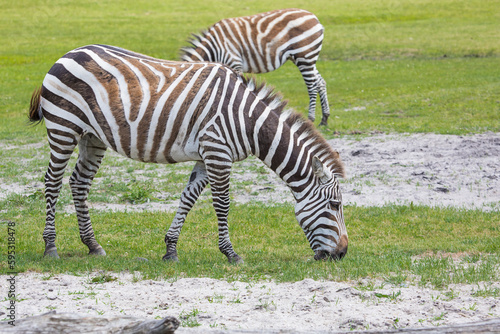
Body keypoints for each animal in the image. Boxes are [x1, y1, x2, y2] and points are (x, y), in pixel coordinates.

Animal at [27, 45, 348, 264]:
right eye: (334, 206)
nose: (343, 253)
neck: (248, 120)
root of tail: (67, 54)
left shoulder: (206, 157)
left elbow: (188, 198)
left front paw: (170, 248)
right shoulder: (218, 152)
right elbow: (222, 204)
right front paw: (230, 253)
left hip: (92, 137)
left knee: (79, 183)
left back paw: (92, 245)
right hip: (63, 127)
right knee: (52, 182)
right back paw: (50, 246)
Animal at [181, 9, 332, 126]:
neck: (213, 48)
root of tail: (314, 17)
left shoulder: (234, 62)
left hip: (304, 56)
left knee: (312, 86)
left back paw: (311, 119)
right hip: (306, 59)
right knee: (321, 82)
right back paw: (324, 119)